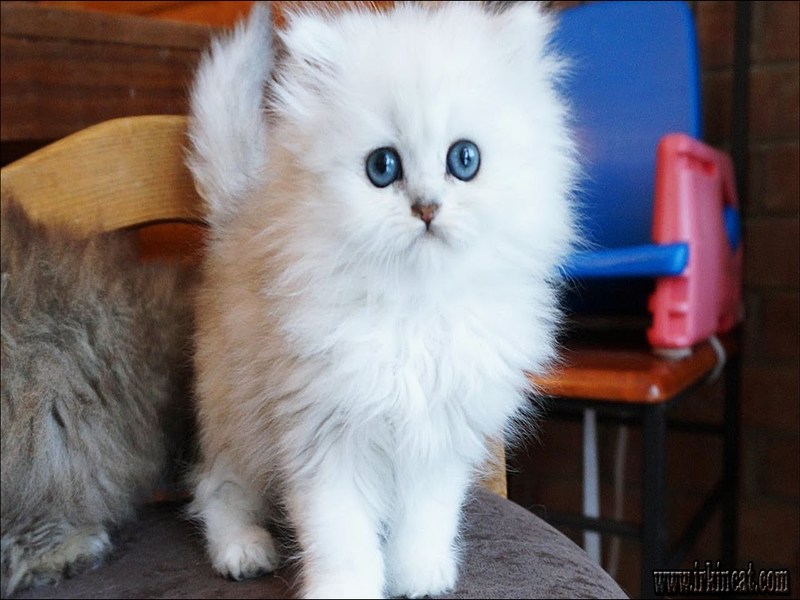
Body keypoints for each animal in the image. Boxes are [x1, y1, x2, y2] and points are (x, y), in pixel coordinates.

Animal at [188, 2, 576, 596]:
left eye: (464, 160)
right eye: (382, 167)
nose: (427, 208)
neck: (416, 308)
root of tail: (238, 211)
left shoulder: (440, 435)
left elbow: (427, 517)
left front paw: (419, 574)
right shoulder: (325, 433)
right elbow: (341, 536)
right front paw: (344, 589)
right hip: (240, 413)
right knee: (216, 486)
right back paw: (242, 550)